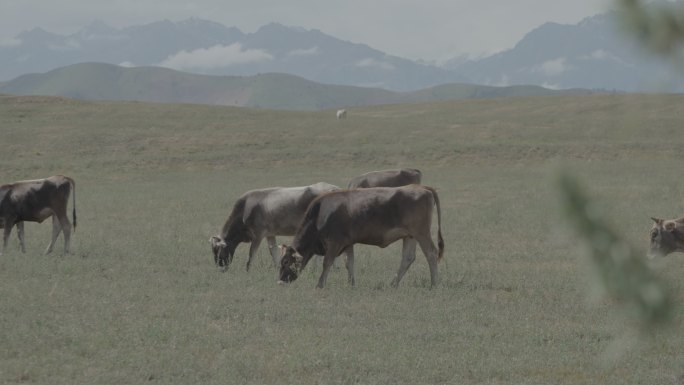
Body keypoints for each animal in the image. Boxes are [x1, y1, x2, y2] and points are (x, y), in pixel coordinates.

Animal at [207, 182, 338, 270]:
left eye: (218, 250)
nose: (220, 268)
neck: (245, 208)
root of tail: (335, 188)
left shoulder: (258, 234)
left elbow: (251, 254)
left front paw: (248, 271)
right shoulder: (270, 234)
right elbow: (273, 251)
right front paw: (278, 267)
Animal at [278, 184, 444, 288]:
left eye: (286, 262)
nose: (280, 281)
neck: (320, 215)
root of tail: (421, 187)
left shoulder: (335, 243)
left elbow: (327, 263)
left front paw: (320, 285)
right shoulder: (348, 243)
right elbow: (349, 263)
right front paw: (351, 284)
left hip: (421, 233)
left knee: (431, 253)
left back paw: (435, 283)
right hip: (410, 236)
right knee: (408, 258)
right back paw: (393, 284)